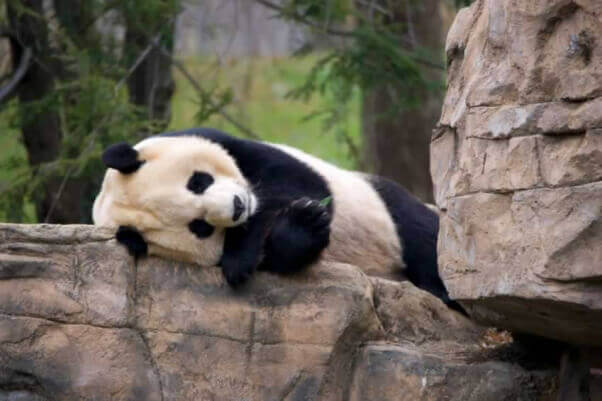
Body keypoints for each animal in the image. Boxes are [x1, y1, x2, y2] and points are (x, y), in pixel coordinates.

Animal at [92, 126, 460, 310]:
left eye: (198, 181)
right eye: (200, 227)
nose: (238, 206)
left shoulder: (226, 142)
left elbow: (296, 182)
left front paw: (298, 220)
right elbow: (282, 258)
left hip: (385, 206)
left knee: (422, 236)